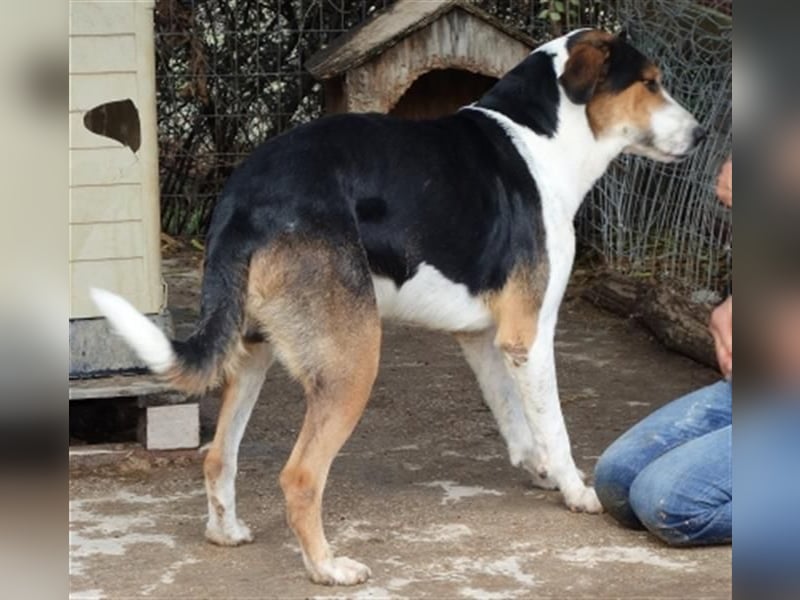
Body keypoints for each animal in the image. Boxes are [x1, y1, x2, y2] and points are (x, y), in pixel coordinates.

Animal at [91, 28, 704, 586]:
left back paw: (227, 532)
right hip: (354, 362)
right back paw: (327, 568)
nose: (701, 135)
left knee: (219, 456)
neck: (543, 136)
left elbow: (513, 416)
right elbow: (552, 423)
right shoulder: (530, 334)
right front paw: (576, 489)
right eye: (650, 83)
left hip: (253, 352)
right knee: (300, 477)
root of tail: (244, 197)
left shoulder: (486, 340)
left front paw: (540, 470)